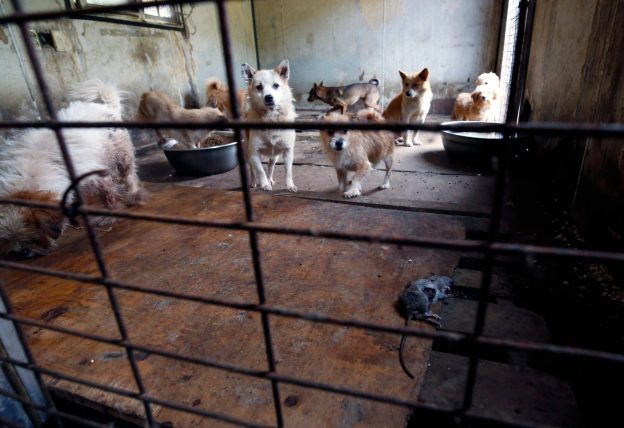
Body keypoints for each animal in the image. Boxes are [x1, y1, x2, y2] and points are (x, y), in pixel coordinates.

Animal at [0, 79, 144, 258]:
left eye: (34, 237)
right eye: (8, 239)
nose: (22, 253)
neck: (31, 173)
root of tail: (105, 107)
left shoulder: (97, 177)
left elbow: (108, 195)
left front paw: (111, 215)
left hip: (122, 156)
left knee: (130, 175)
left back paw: (135, 194)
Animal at [241, 59, 298, 192]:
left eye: (276, 85)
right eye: (259, 87)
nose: (268, 97)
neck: (271, 118)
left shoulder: (288, 151)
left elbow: (288, 172)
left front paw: (290, 185)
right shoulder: (254, 154)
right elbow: (260, 171)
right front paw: (264, 184)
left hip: (274, 157)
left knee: (270, 167)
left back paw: (270, 179)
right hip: (248, 154)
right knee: (252, 169)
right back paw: (254, 182)